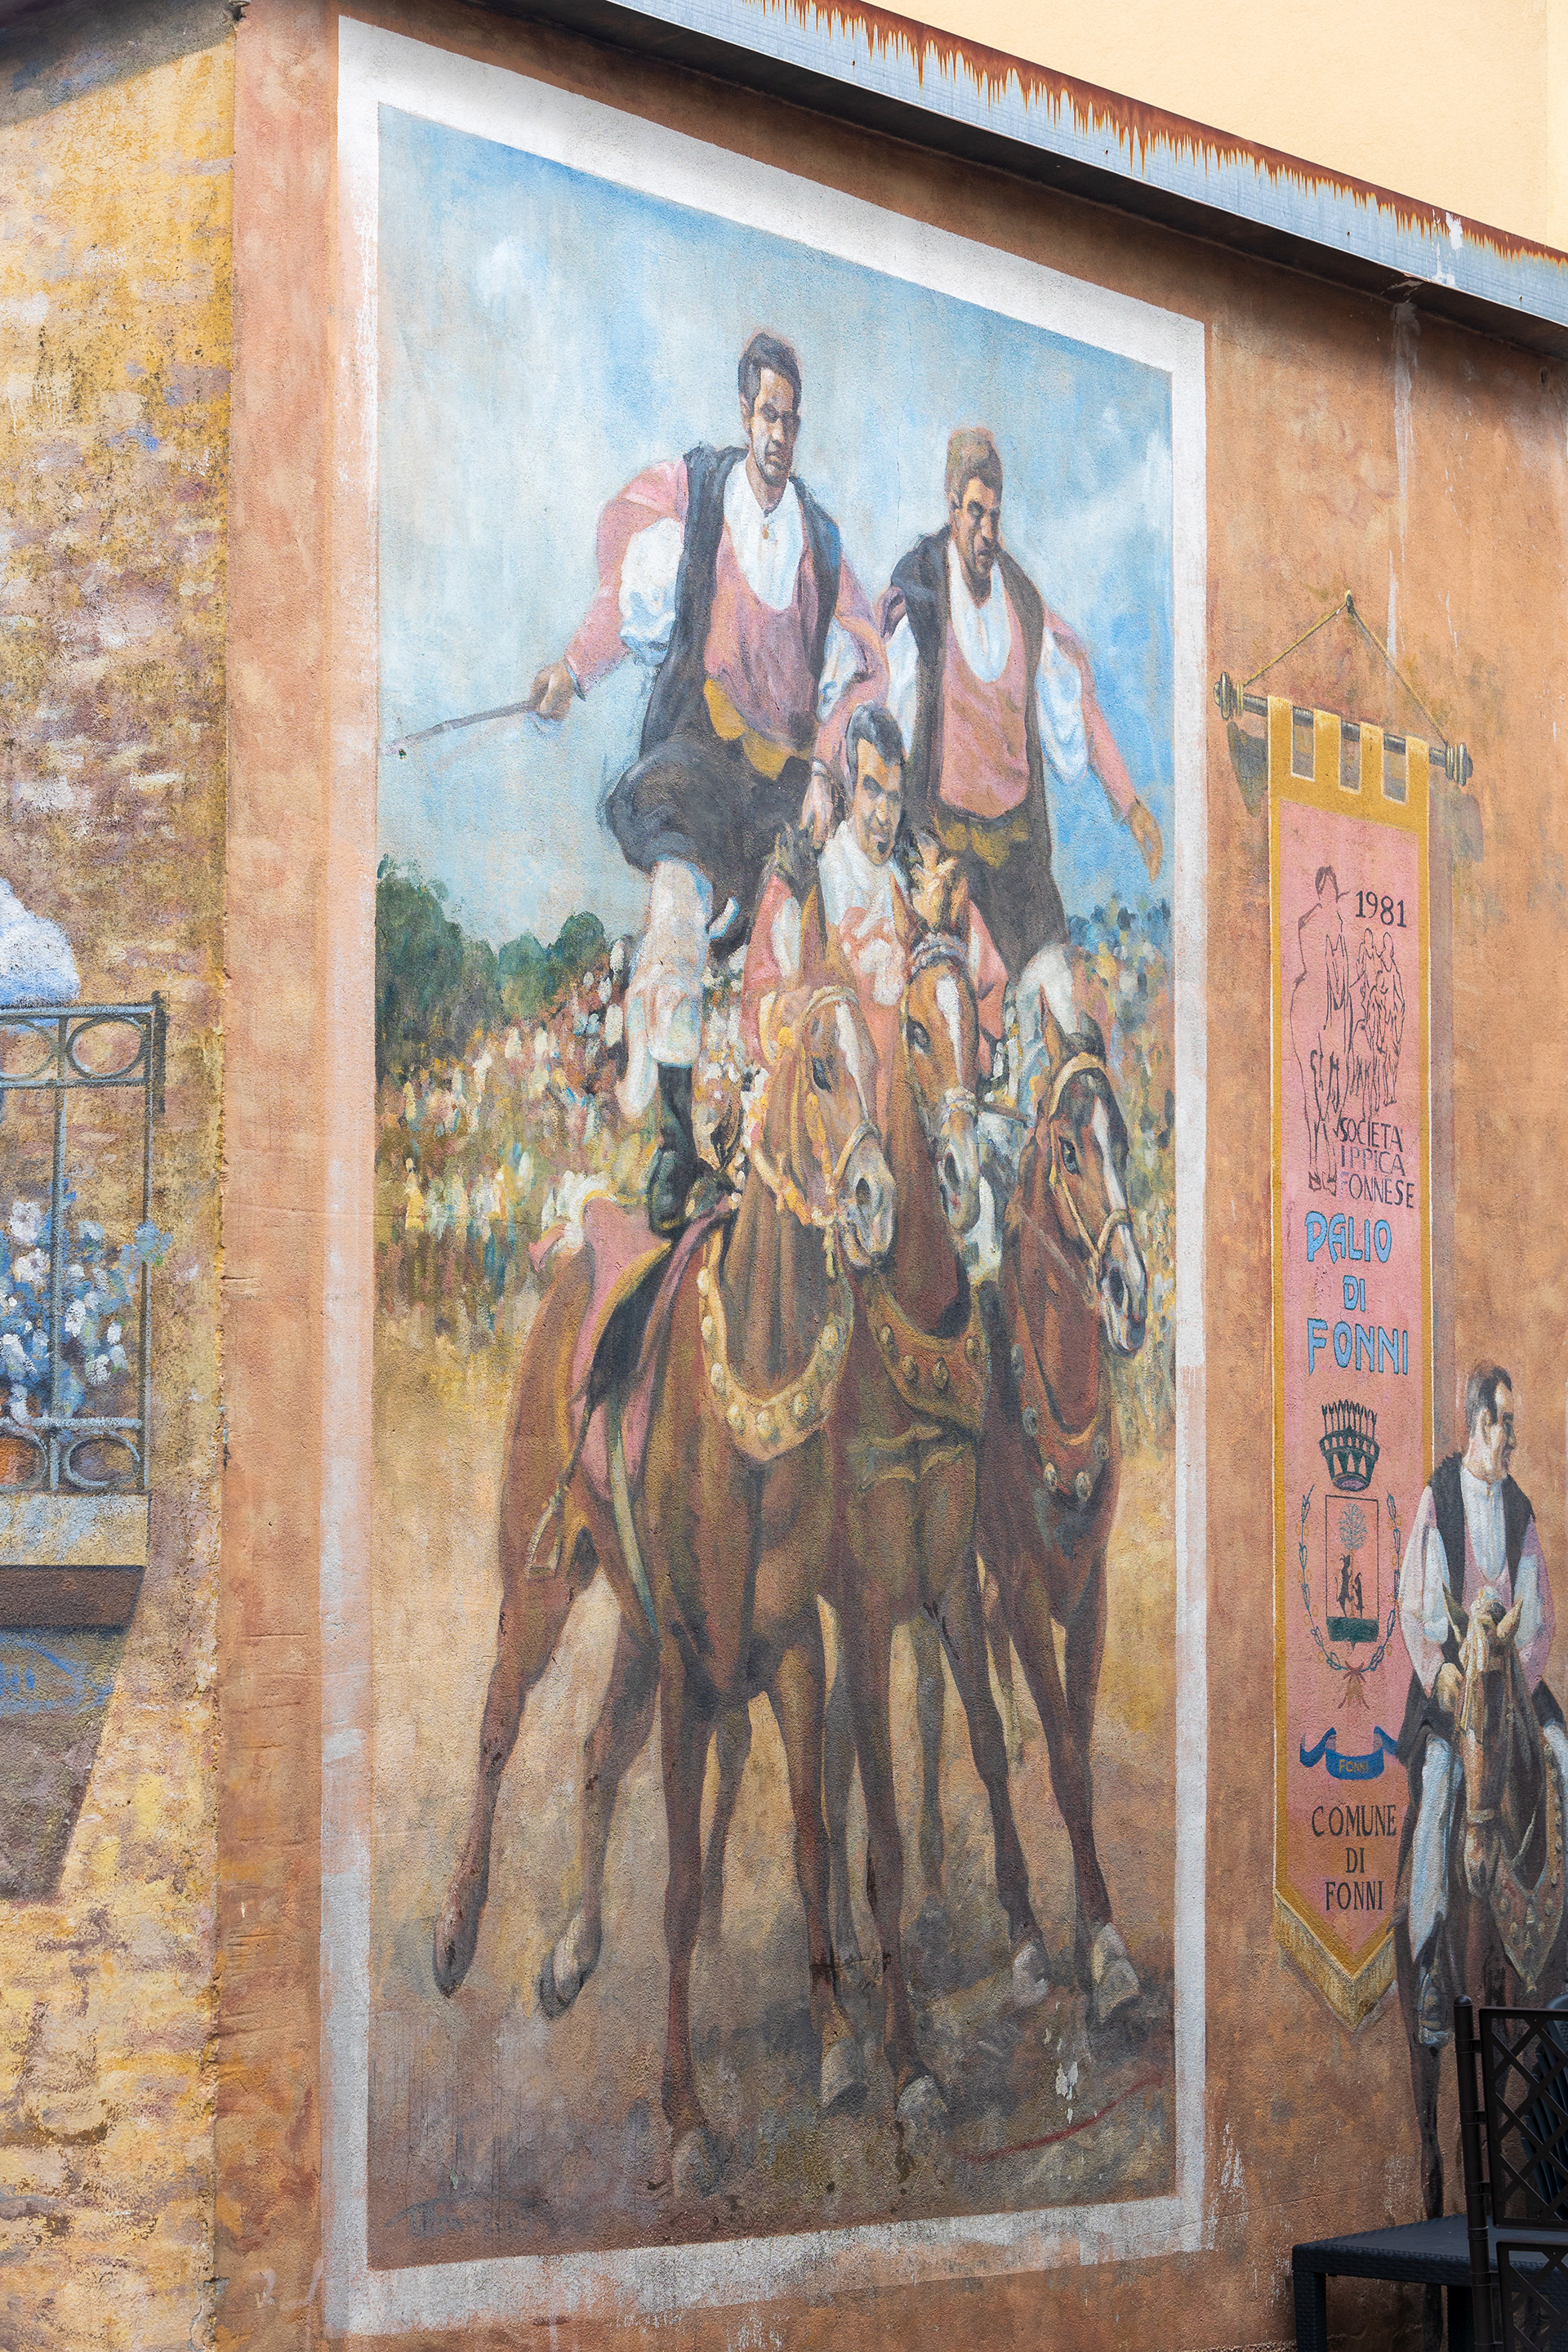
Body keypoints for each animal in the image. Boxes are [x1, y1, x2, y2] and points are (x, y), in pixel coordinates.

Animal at [431, 940, 896, 2200]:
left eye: (894, 1073)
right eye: (823, 1069)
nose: (877, 1202)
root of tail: (574, 1244)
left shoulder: (788, 1648)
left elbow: (810, 1841)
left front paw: (841, 2047)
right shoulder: (698, 1668)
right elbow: (685, 1887)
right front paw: (685, 2117)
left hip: (636, 1617)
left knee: (599, 1750)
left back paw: (573, 1949)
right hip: (543, 1581)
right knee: (500, 1729)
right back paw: (456, 1933)